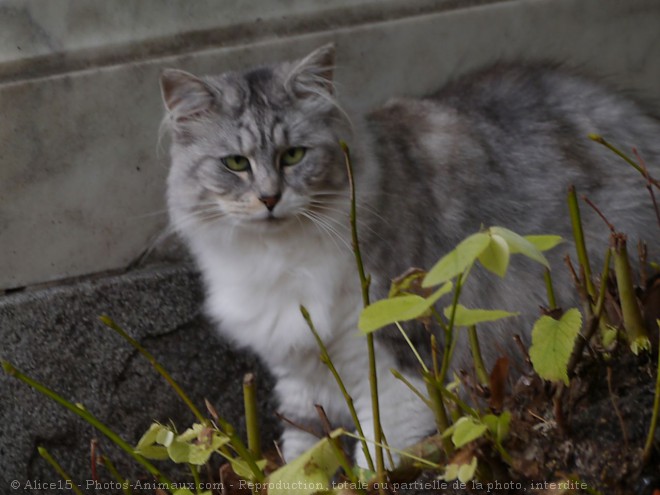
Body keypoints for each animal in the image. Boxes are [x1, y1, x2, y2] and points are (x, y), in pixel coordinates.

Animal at [161, 43, 660, 468]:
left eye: (293, 156)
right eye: (235, 164)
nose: (269, 199)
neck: (278, 257)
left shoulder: (395, 363)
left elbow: (376, 460)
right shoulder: (299, 380)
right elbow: (301, 462)